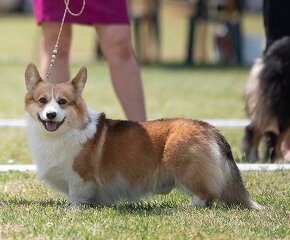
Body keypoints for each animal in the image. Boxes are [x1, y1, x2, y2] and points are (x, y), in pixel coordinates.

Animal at [24, 64, 260, 210]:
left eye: (62, 102)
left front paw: (74, 209)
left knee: (206, 195)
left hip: (185, 168)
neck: (62, 133)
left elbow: (76, 195)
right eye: (42, 100)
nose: (51, 115)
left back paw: (191, 206)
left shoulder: (80, 178)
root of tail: (211, 129)